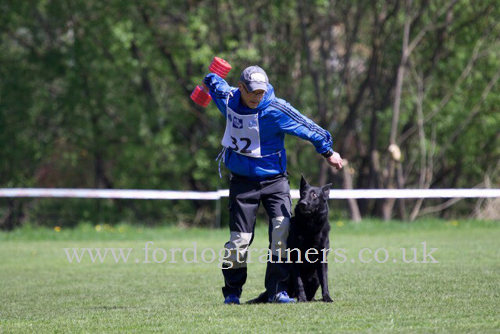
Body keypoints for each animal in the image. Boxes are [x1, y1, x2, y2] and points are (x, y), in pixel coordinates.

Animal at [248, 176, 334, 304]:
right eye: (303, 194)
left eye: (314, 195)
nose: (302, 203)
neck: (309, 227)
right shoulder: (295, 259)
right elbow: (299, 282)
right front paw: (302, 298)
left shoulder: (322, 259)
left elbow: (325, 281)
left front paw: (327, 297)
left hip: (315, 278)